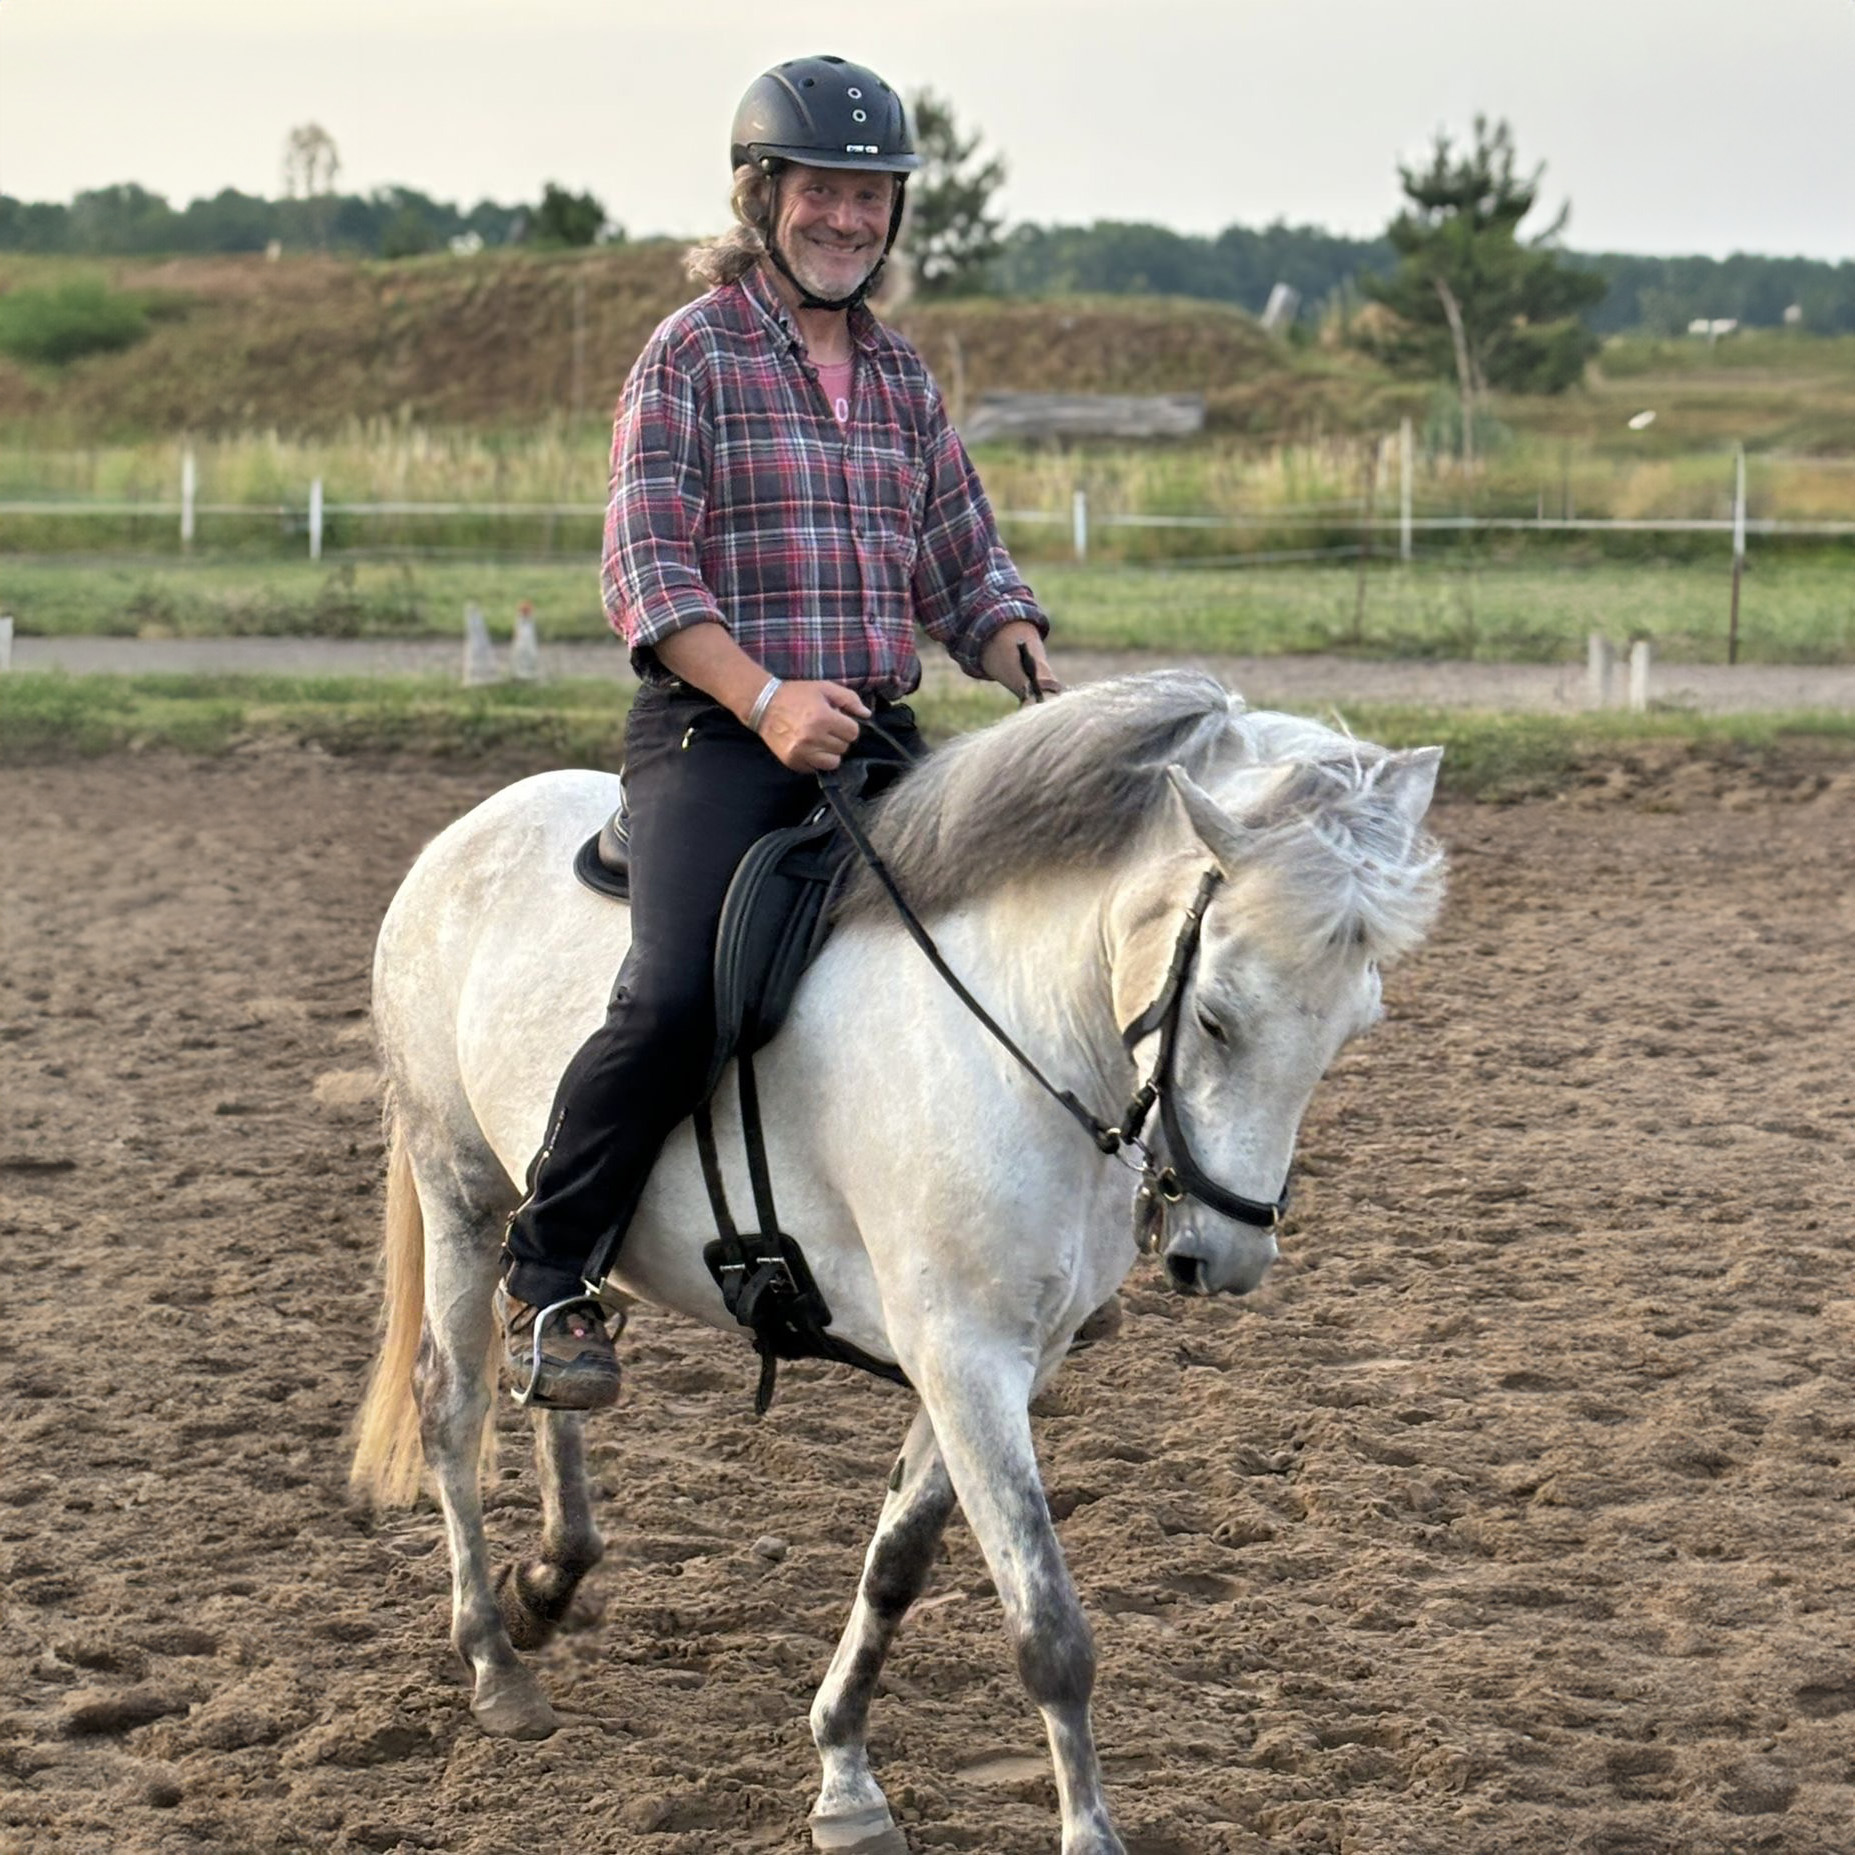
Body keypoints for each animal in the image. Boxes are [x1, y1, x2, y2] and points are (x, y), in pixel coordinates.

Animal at [350, 671, 1446, 1855]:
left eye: (1354, 1025)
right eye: (1213, 1015)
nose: (1231, 1254)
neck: (1023, 1029)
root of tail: (468, 830)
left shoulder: (1001, 1362)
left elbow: (897, 1563)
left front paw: (843, 1773)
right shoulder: (966, 1356)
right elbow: (1048, 1628)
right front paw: (1086, 1832)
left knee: (555, 1365)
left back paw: (551, 1574)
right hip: (458, 1188)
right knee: (454, 1405)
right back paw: (493, 1660)